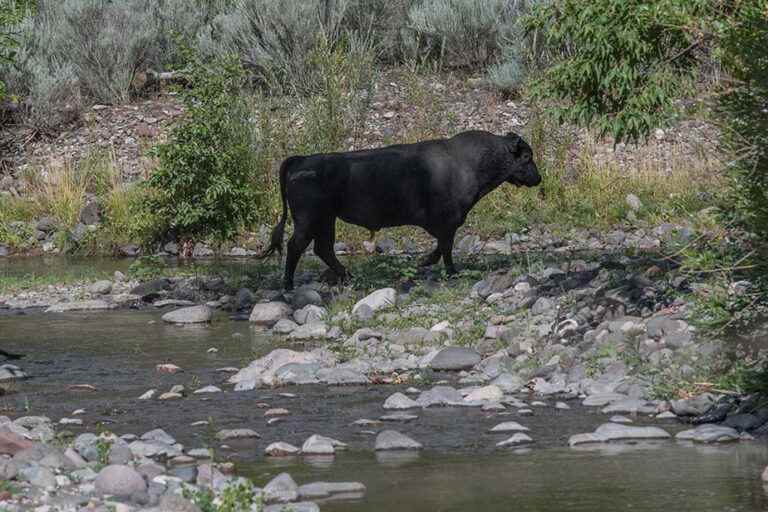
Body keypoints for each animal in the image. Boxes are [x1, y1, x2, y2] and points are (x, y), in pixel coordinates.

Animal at [260, 130, 544, 290]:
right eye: (526, 157)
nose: (538, 178)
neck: (470, 162)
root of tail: (302, 160)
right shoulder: (449, 221)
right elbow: (446, 247)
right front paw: (449, 270)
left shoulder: (446, 224)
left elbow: (441, 246)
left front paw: (424, 261)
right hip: (309, 220)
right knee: (297, 246)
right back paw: (288, 284)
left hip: (326, 220)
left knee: (323, 249)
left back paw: (348, 275)